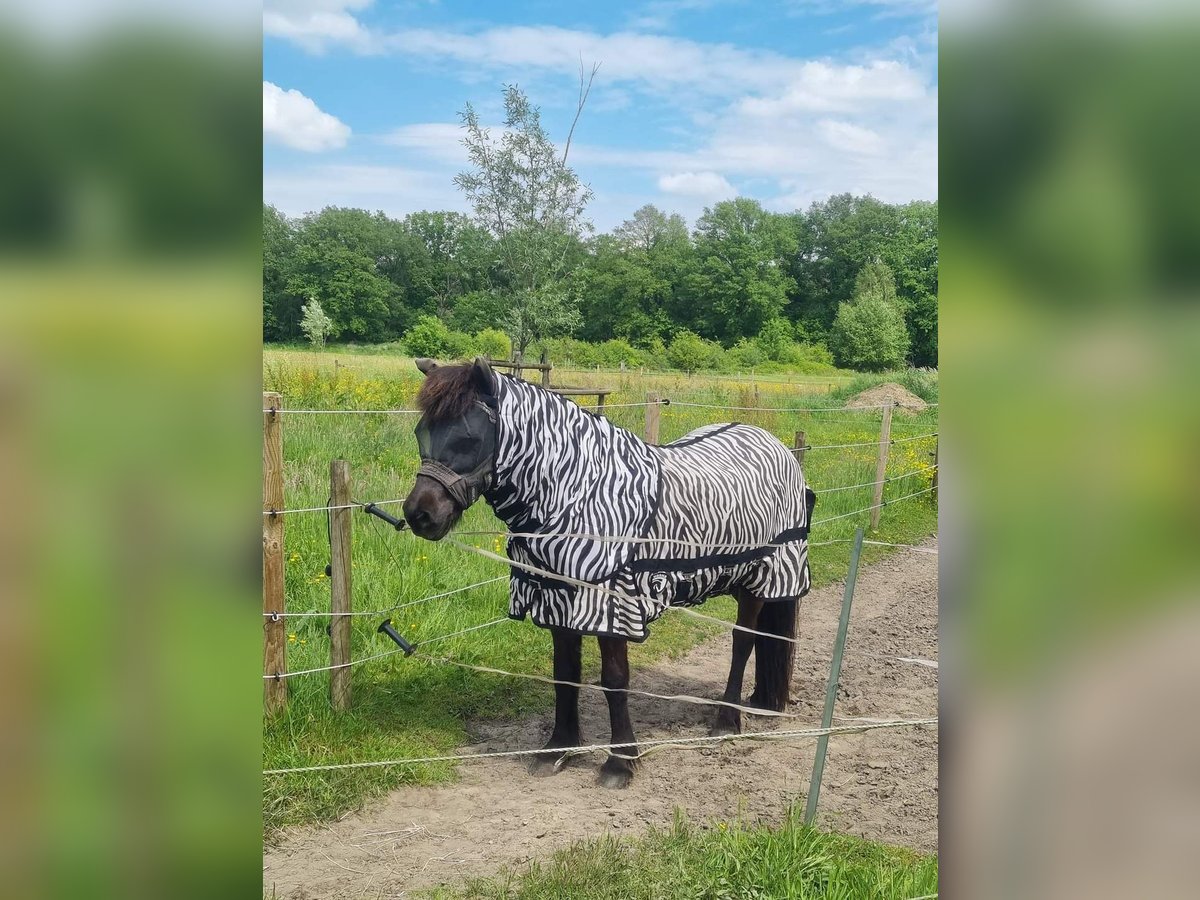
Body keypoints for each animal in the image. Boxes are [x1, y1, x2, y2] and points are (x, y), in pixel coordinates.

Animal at [405, 360, 816, 787]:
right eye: (422, 432)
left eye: (469, 437)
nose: (419, 515)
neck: (579, 494)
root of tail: (776, 446)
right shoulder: (558, 600)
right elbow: (564, 673)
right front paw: (558, 750)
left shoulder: (612, 603)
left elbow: (614, 679)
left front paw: (620, 762)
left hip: (760, 577)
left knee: (743, 642)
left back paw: (726, 721)